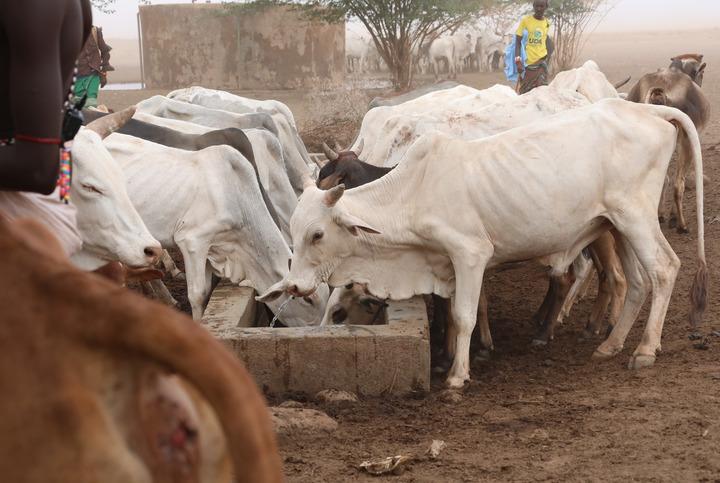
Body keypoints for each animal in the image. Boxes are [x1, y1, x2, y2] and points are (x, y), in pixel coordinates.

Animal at [258, 99, 704, 390]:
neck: (413, 193)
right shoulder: (445, 265)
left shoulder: (470, 255)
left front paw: (458, 374)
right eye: (294, 229)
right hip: (615, 224)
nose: (294, 285)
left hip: (636, 217)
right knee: (636, 281)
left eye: (317, 234)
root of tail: (649, 110)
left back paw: (644, 350)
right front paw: (449, 361)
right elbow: (454, 315)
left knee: (664, 269)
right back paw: (610, 345)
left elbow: (465, 315)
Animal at [628, 56, 712, 234]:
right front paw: (673, 218)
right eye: (701, 74)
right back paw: (682, 225)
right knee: (678, 184)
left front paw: (661, 215)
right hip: (686, 141)